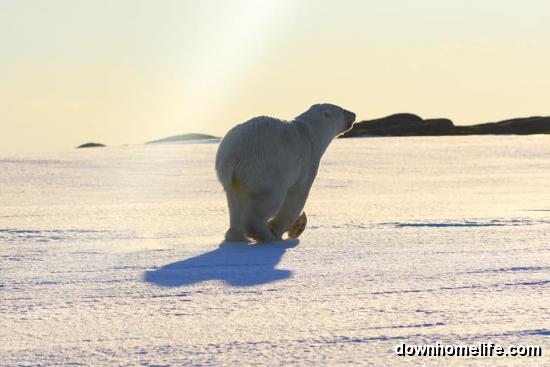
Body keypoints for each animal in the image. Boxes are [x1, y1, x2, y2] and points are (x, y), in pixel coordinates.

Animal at [216, 103, 358, 243]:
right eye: (341, 109)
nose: (354, 114)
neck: (310, 132)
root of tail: (234, 156)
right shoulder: (307, 160)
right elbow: (297, 196)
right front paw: (279, 230)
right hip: (266, 170)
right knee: (271, 200)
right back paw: (266, 235)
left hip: (233, 178)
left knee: (236, 203)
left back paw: (238, 237)